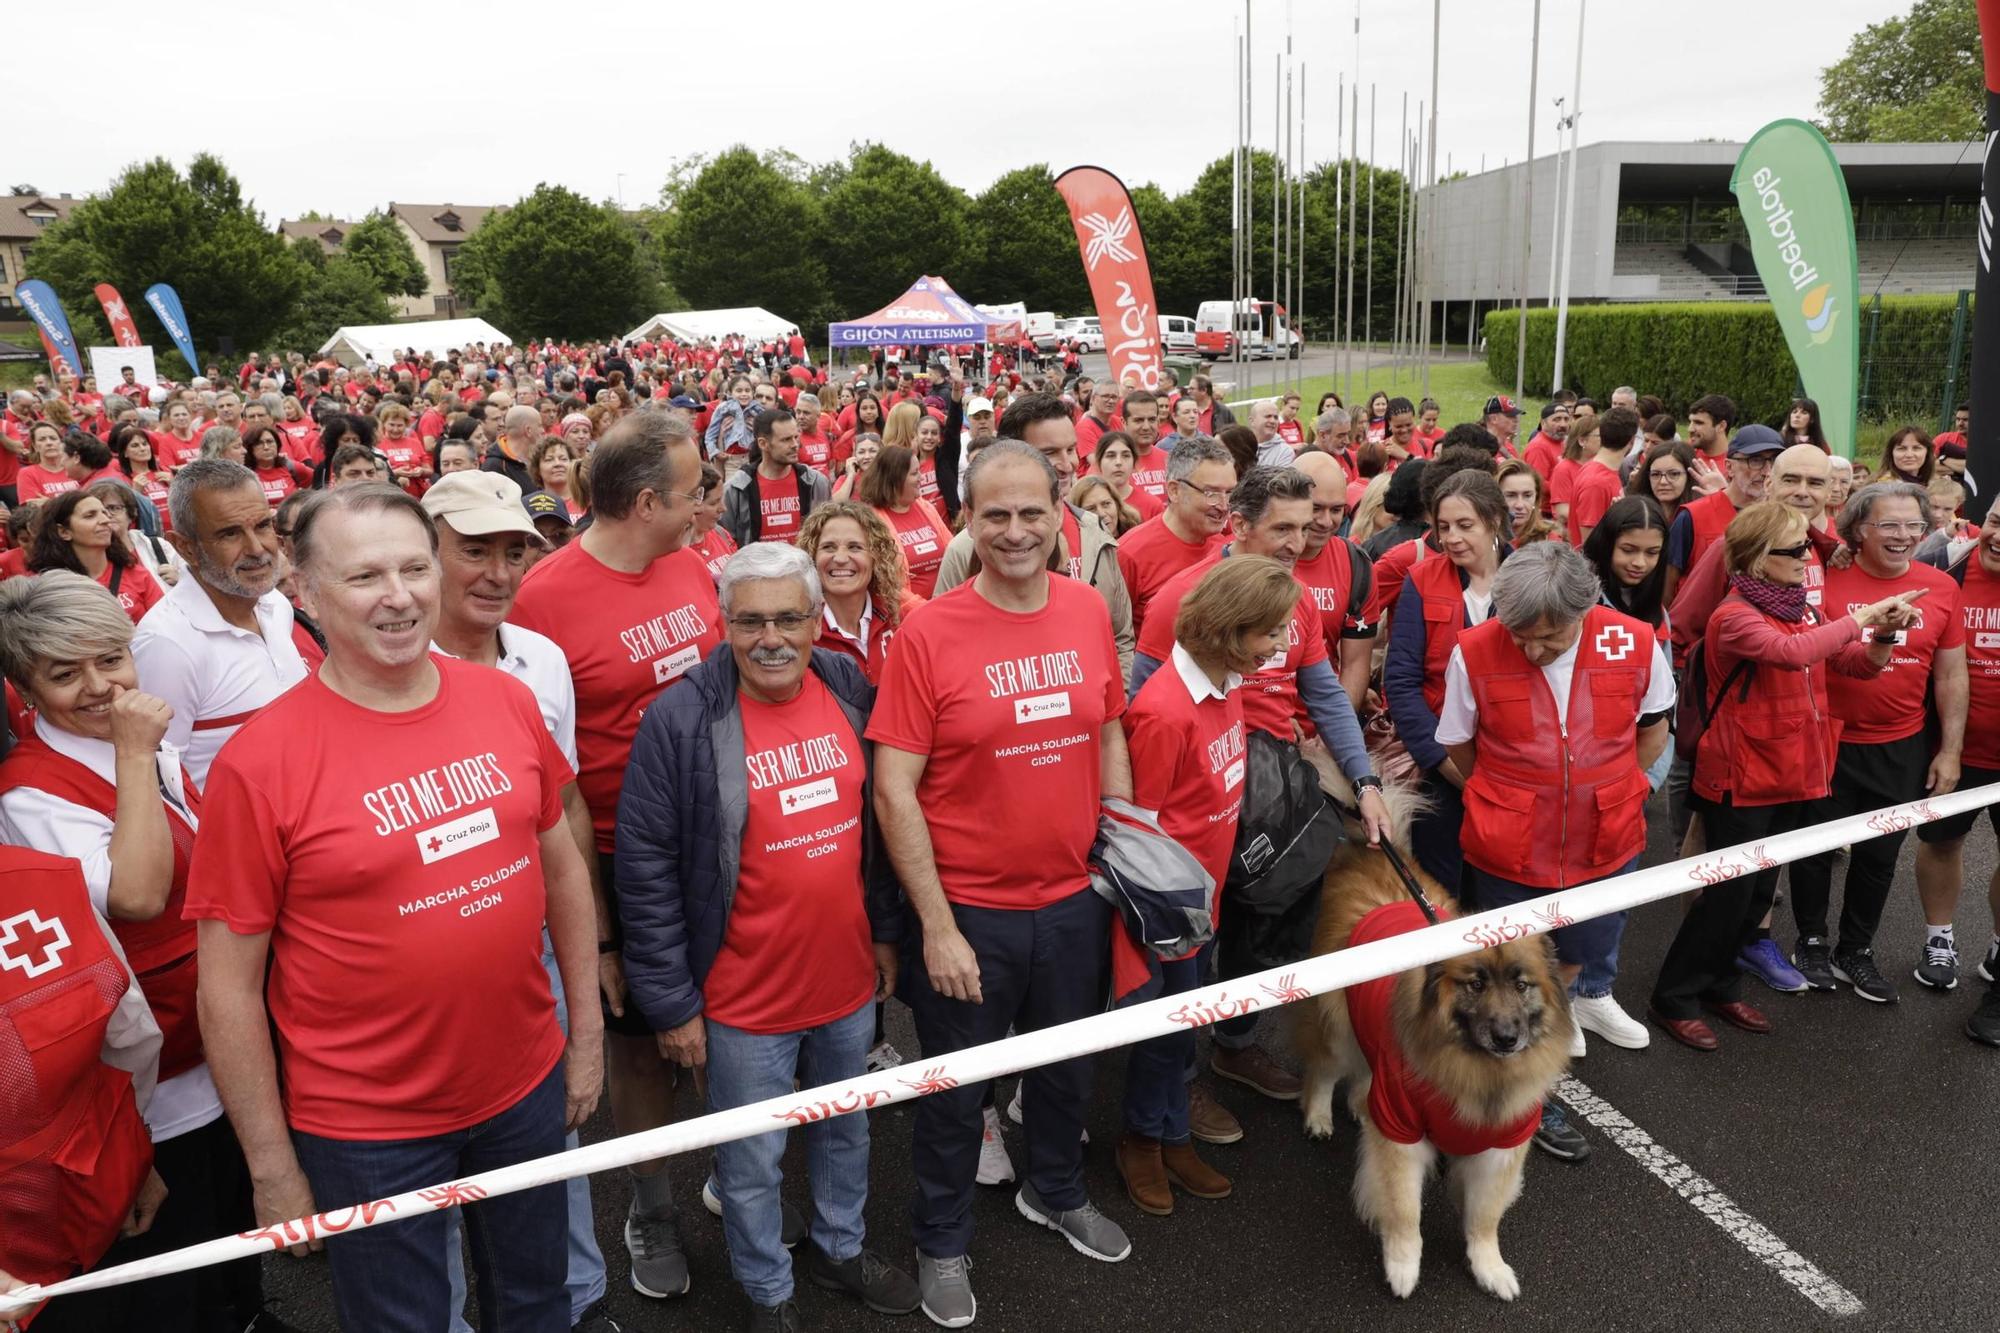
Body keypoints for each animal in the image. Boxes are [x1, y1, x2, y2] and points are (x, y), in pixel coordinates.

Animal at [1296, 768, 1576, 1296]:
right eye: (1476, 984)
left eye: (1521, 985)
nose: (1506, 1037)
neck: (1475, 1069)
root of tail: (1372, 852)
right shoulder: (1402, 1135)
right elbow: (1405, 1212)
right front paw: (1403, 1268)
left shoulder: (1499, 1149)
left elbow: (1484, 1220)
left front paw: (1490, 1268)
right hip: (1337, 1027)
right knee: (1324, 1068)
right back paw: (1320, 1116)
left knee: (1364, 1071)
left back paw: (1360, 1106)